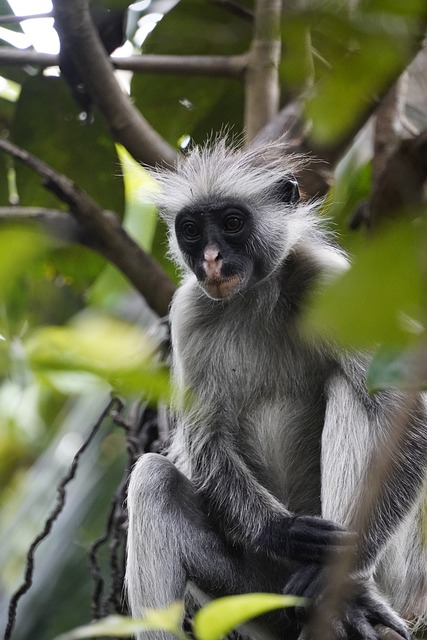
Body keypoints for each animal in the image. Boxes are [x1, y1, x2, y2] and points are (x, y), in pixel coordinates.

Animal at [125, 140, 427, 640]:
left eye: (232, 222)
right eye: (190, 230)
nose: (210, 259)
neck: (254, 297)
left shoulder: (329, 279)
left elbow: (408, 407)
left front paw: (336, 573)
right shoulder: (188, 311)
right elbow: (205, 441)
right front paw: (284, 533)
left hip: (395, 571)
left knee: (349, 388)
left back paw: (344, 597)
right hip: (256, 592)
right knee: (152, 479)